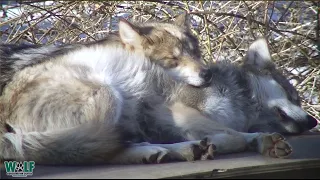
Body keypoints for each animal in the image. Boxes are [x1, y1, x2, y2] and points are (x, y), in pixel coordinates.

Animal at [0, 14, 318, 165]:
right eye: (293, 95)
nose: (313, 121)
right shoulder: (174, 109)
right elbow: (233, 135)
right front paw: (250, 141)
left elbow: (235, 134)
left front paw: (261, 141)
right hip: (107, 94)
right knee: (89, 151)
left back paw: (178, 150)